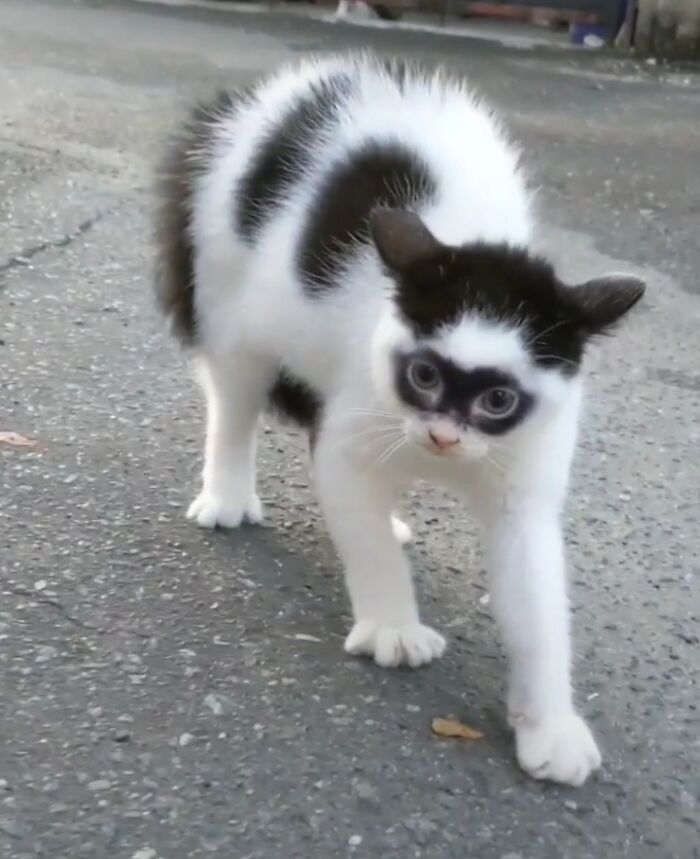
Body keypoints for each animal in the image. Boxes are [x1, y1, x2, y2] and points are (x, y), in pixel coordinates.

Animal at [154, 57, 644, 788]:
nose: (443, 435)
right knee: (234, 399)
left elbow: (537, 601)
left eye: (498, 401)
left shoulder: (525, 480)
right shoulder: (352, 431)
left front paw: (548, 723)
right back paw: (228, 493)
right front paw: (391, 624)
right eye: (425, 376)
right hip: (230, 296)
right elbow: (357, 520)